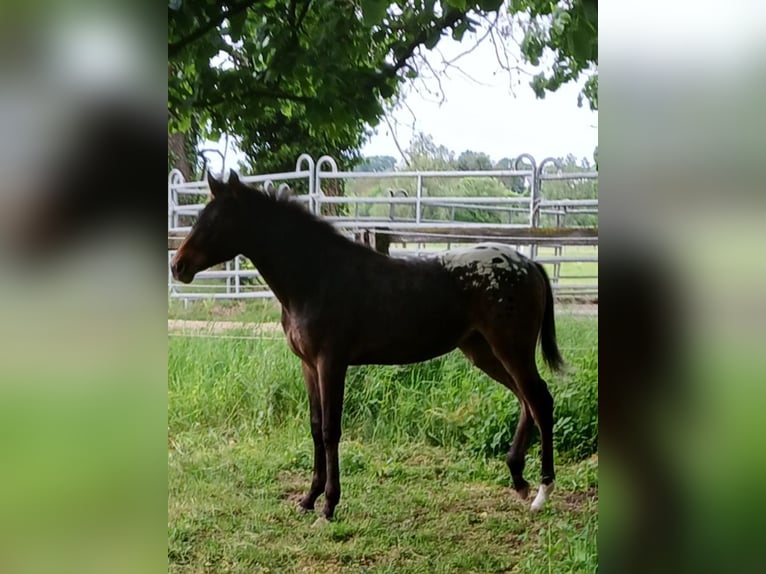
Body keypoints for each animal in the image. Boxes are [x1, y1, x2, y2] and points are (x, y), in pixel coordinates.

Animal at [171, 171, 564, 522]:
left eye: (217, 221)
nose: (178, 266)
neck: (315, 277)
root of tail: (529, 263)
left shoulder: (331, 363)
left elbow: (331, 431)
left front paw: (329, 505)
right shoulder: (308, 365)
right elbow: (315, 427)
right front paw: (308, 498)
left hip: (510, 349)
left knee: (540, 400)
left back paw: (542, 493)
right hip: (484, 352)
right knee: (527, 400)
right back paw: (518, 480)